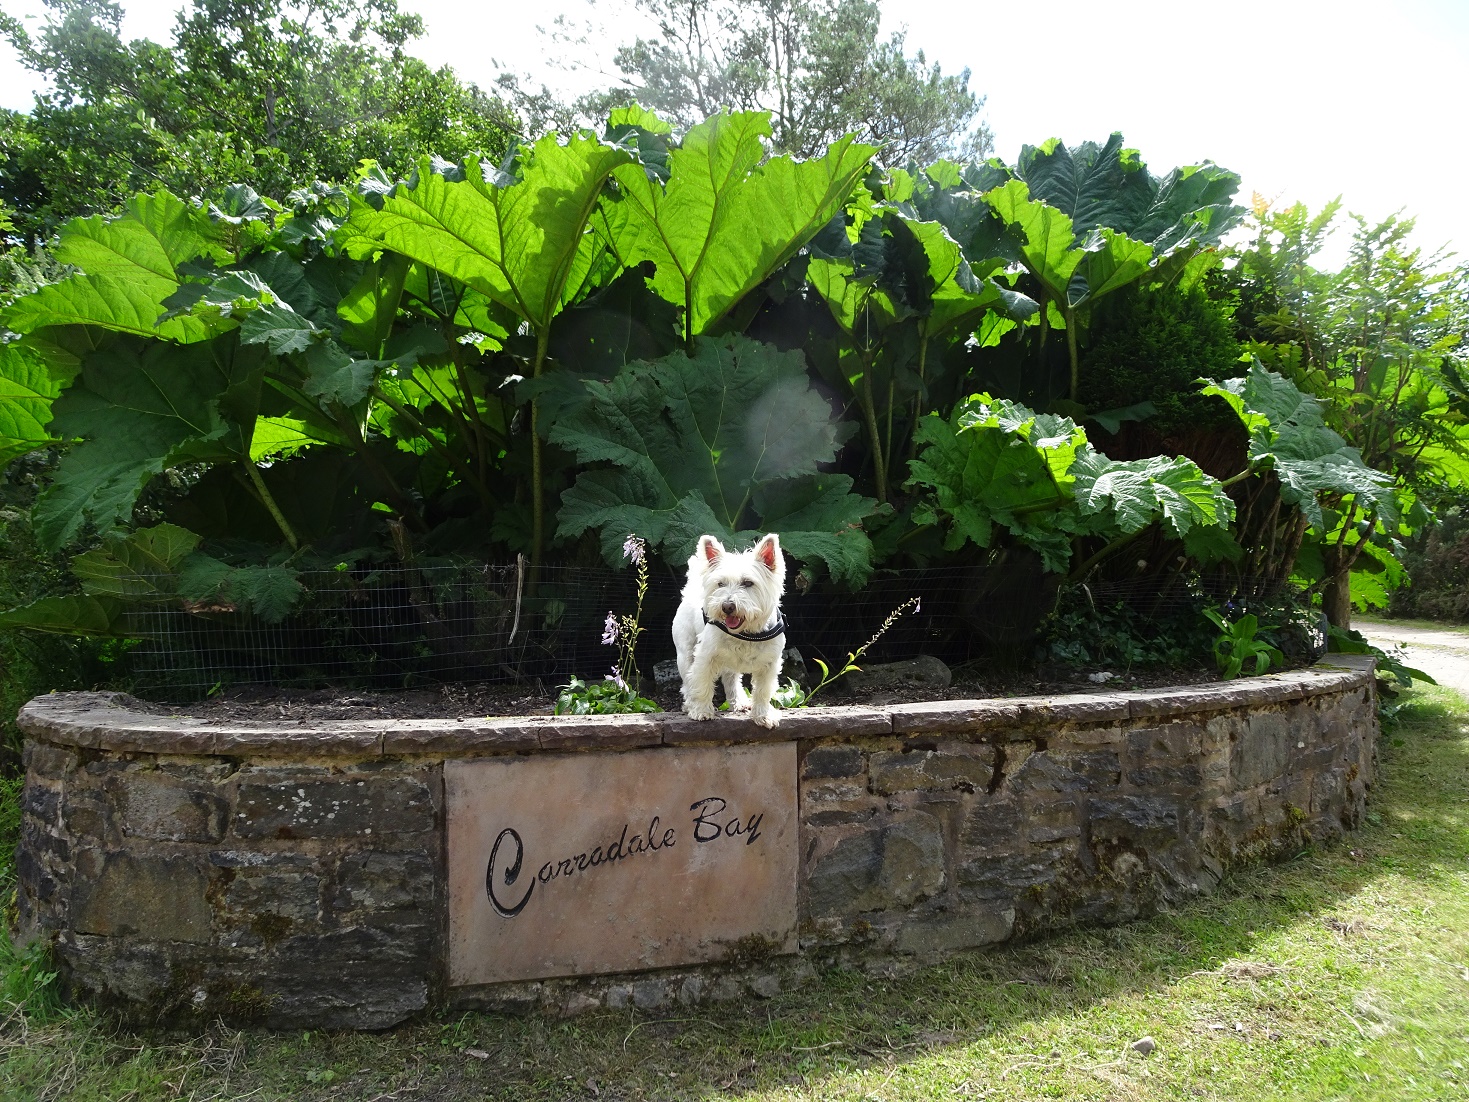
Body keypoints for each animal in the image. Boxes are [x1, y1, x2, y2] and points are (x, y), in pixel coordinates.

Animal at [672, 531, 787, 728]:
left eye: (748, 583)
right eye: (720, 584)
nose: (727, 606)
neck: (746, 633)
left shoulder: (770, 664)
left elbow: (763, 691)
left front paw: (763, 715)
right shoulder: (705, 657)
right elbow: (701, 683)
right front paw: (701, 711)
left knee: (731, 678)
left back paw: (739, 702)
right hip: (685, 651)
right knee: (687, 679)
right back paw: (689, 704)